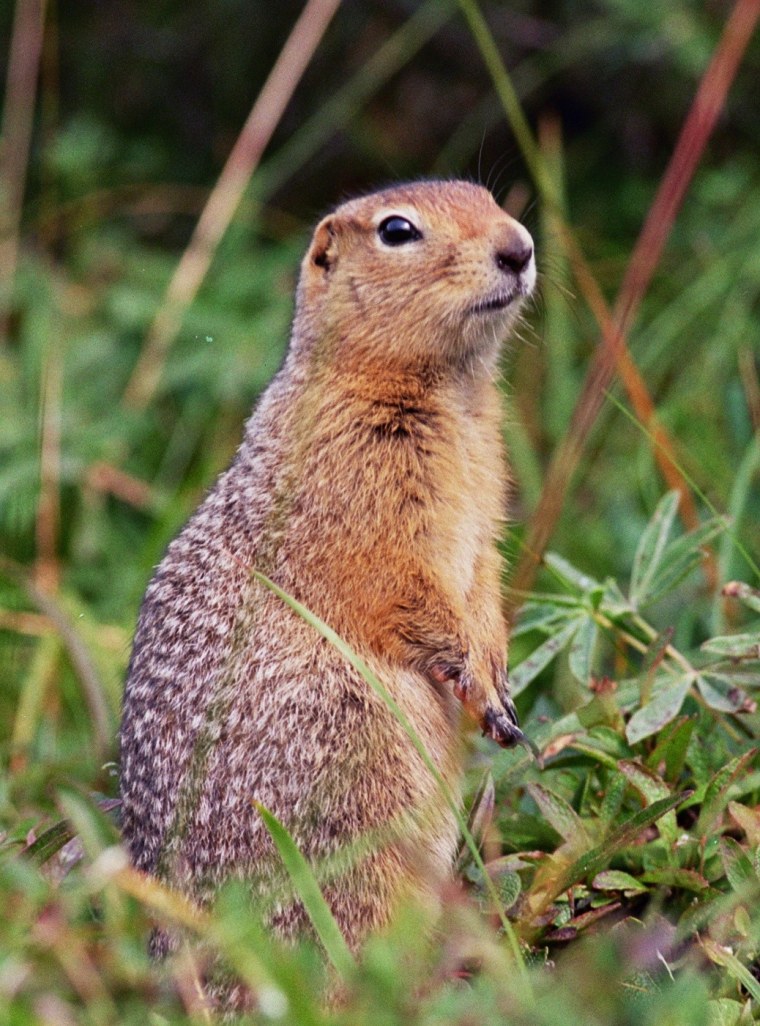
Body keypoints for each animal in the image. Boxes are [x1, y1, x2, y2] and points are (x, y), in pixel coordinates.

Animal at [119, 179, 536, 978]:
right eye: (397, 231)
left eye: (489, 195)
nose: (520, 246)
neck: (451, 392)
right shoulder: (361, 496)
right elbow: (402, 588)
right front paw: (477, 680)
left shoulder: (485, 509)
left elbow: (483, 582)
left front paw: (498, 680)